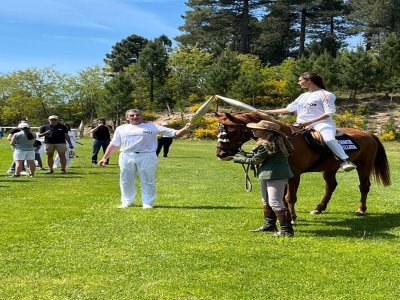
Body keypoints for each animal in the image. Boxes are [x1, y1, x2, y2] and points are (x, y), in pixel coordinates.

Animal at [216, 110, 390, 223]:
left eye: (231, 131)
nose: (220, 153)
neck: (285, 138)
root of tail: (369, 134)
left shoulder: (294, 174)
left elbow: (290, 197)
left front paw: (292, 218)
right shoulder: (283, 174)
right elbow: (282, 197)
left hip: (364, 166)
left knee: (364, 186)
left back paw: (361, 209)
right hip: (330, 168)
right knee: (331, 185)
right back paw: (319, 208)